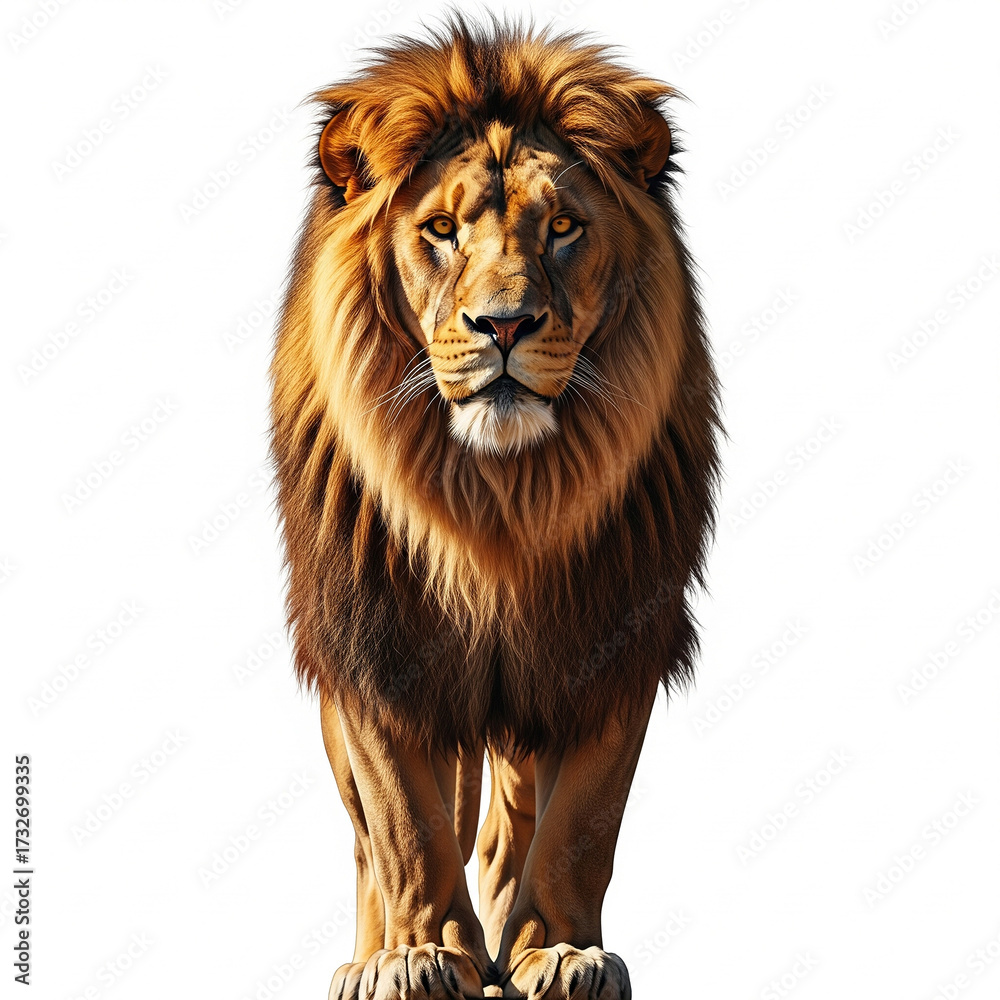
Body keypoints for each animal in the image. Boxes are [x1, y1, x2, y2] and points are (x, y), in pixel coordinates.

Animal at [270, 16, 721, 1000]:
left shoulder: (611, 635)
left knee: (509, 819)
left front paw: (559, 950)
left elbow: (581, 823)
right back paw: (378, 953)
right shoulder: (377, 638)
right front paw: (419, 952)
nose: (505, 325)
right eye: (440, 229)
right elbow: (403, 821)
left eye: (564, 227)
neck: (495, 499)